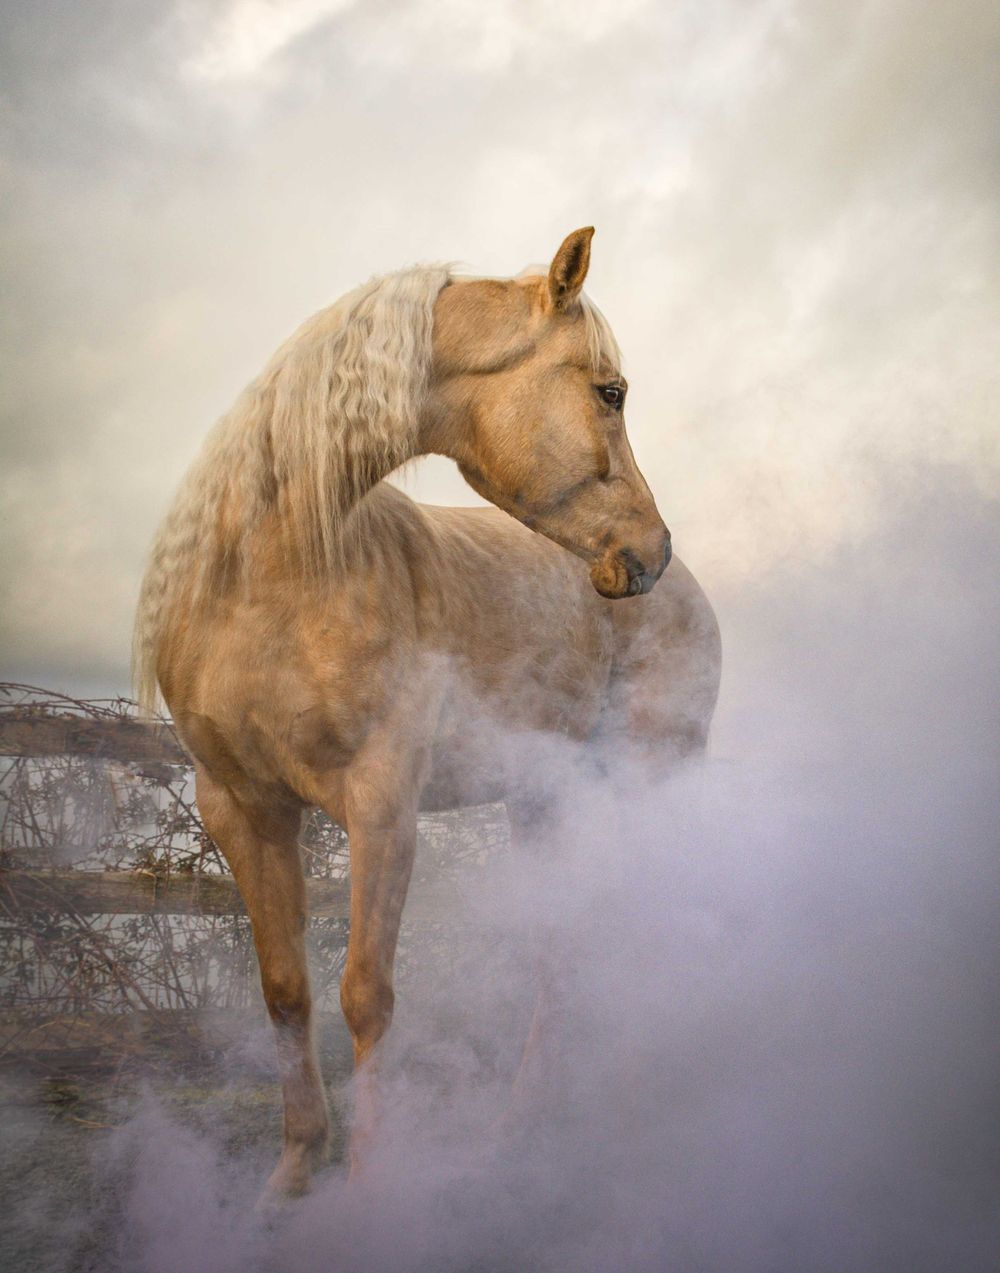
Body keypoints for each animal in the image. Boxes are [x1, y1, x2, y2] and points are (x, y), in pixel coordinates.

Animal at [134, 227, 721, 1199]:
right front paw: (293, 1175)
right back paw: (527, 1126)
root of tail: (695, 599)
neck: (269, 578)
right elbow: (286, 989)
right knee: (563, 950)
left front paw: (372, 1188)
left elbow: (365, 995)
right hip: (549, 801)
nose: (650, 551)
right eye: (610, 391)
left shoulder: (381, 806)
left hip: (644, 787)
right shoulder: (243, 808)